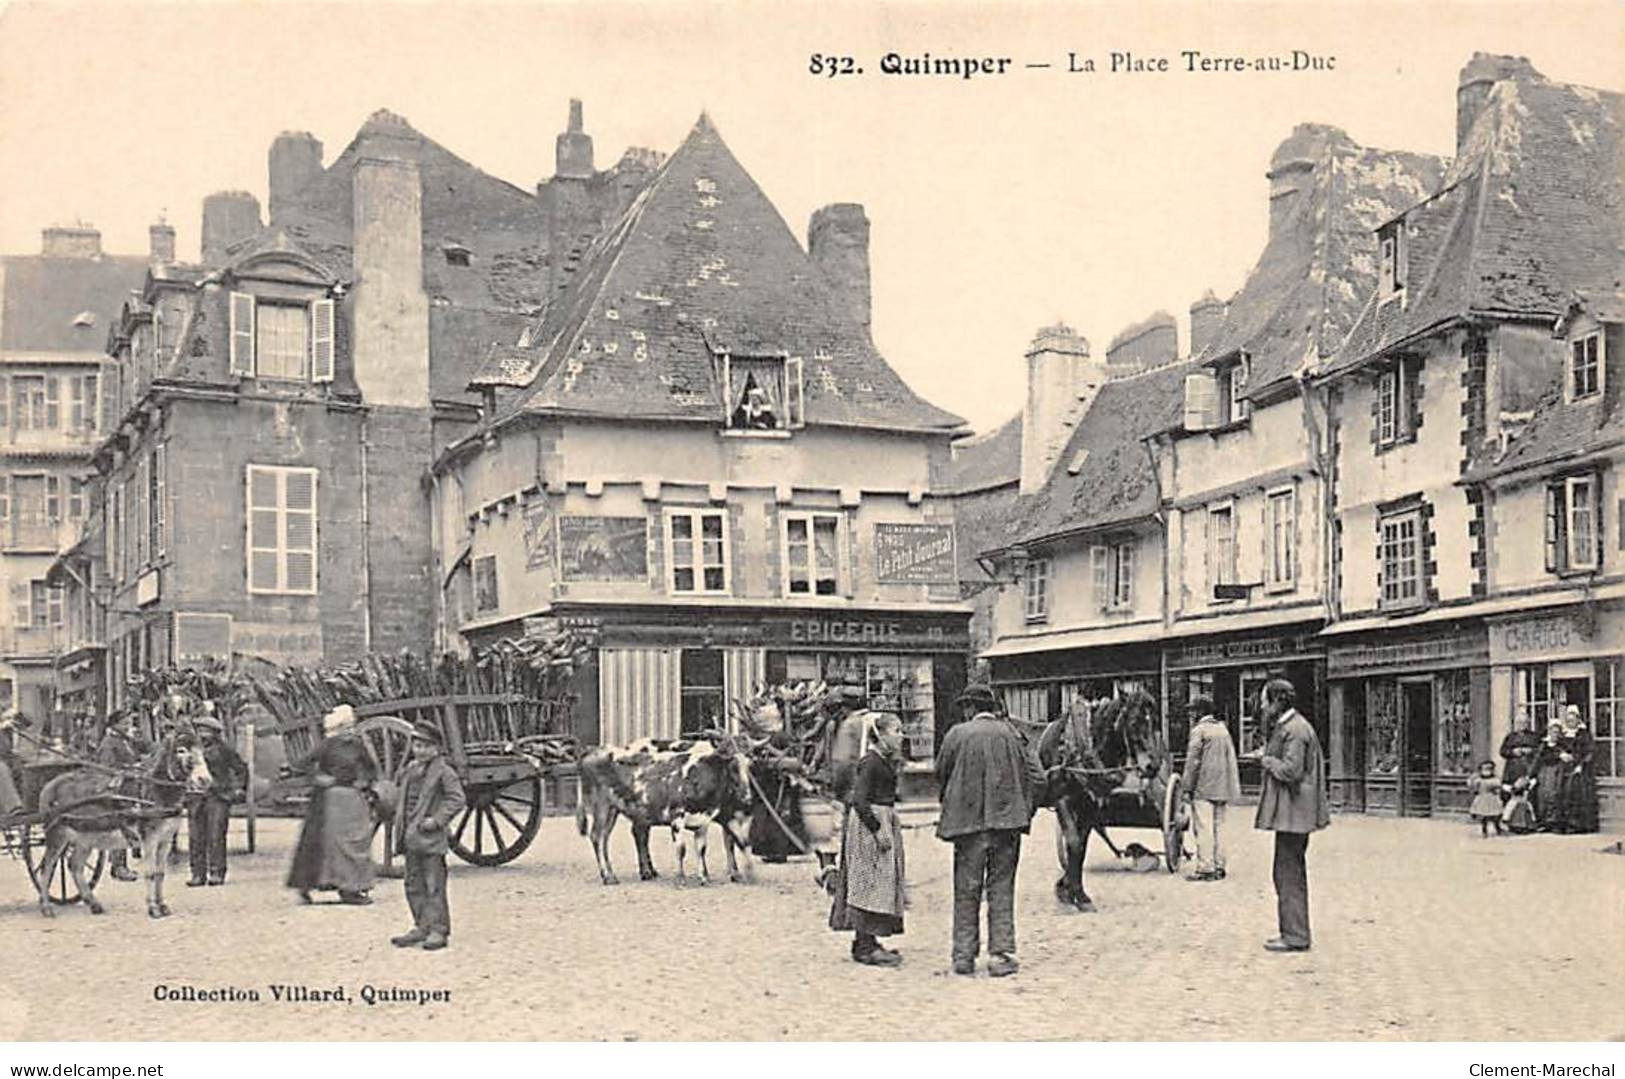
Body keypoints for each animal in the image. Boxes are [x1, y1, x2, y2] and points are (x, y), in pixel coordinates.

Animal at [30, 724, 212, 916]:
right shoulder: (149, 839)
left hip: (85, 837)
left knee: (75, 865)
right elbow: (150, 872)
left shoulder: (166, 840)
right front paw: (153, 908)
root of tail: (50, 784)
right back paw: (46, 907)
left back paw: (93, 904)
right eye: (181, 750)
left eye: (202, 749)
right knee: (47, 867)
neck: (155, 791)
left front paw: (162, 905)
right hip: (57, 835)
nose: (205, 780)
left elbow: (160, 873)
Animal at [1027, 682, 1170, 910]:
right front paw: (1070, 892)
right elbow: (1073, 844)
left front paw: (1073, 892)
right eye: (1134, 722)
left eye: (1155, 721)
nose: (1153, 765)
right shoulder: (1063, 802)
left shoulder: (1089, 805)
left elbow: (1080, 848)